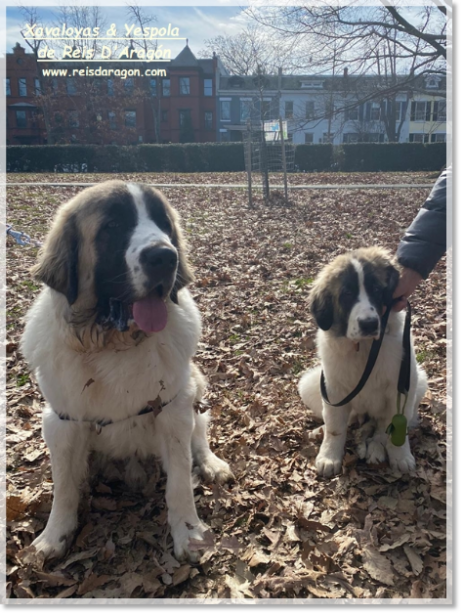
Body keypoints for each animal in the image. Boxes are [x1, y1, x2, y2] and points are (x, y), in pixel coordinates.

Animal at [20, 179, 234, 564]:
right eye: (114, 226)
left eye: (164, 223)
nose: (165, 257)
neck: (112, 344)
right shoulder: (60, 421)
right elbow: (64, 487)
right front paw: (54, 536)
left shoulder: (173, 410)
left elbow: (180, 483)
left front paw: (189, 534)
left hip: (193, 387)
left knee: (200, 436)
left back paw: (212, 464)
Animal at [300, 245, 430, 476]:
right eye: (347, 294)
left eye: (376, 290)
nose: (369, 324)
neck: (365, 348)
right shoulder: (334, 389)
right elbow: (335, 427)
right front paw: (329, 456)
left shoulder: (401, 385)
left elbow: (397, 425)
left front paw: (401, 456)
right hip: (309, 383)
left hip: (419, 379)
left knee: (382, 427)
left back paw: (376, 448)